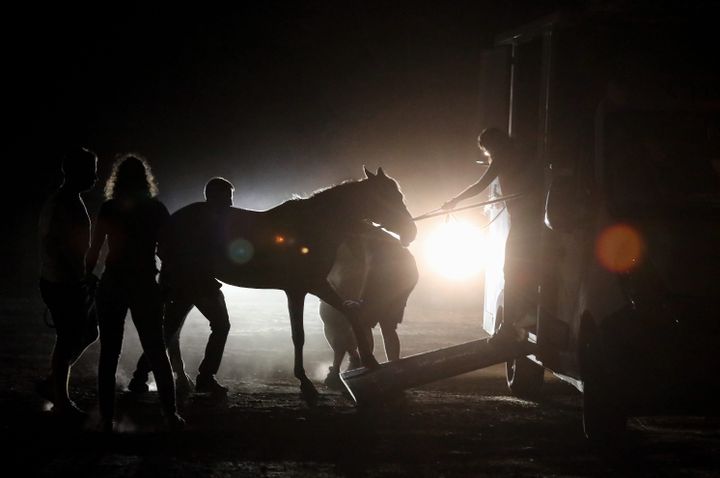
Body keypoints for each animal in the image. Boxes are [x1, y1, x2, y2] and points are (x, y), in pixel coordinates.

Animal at [160, 166, 414, 402]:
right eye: (387, 196)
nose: (411, 232)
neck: (315, 225)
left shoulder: (316, 285)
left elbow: (351, 313)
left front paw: (370, 361)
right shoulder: (298, 289)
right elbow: (298, 336)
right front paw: (305, 383)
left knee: (174, 331)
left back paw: (186, 381)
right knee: (171, 329)